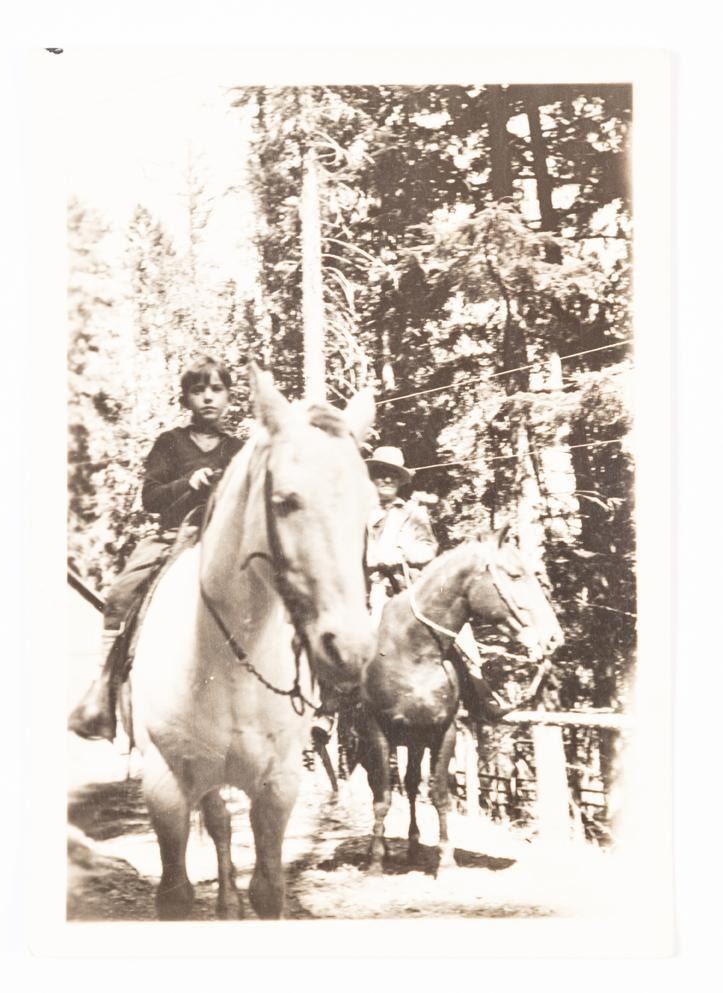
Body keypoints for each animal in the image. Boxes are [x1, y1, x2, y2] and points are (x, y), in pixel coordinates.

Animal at [129, 364, 376, 919]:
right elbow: (175, 893)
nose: (350, 650)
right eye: (285, 501)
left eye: (369, 511)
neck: (227, 660)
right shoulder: (165, 787)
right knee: (219, 823)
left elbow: (268, 889)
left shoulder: (277, 785)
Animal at [359, 525, 564, 875]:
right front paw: (375, 860)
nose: (553, 637)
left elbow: (439, 795)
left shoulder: (444, 731)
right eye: (515, 574)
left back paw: (414, 846)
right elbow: (382, 796)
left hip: (415, 741)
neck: (414, 651)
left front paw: (446, 860)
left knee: (411, 785)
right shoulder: (377, 730)